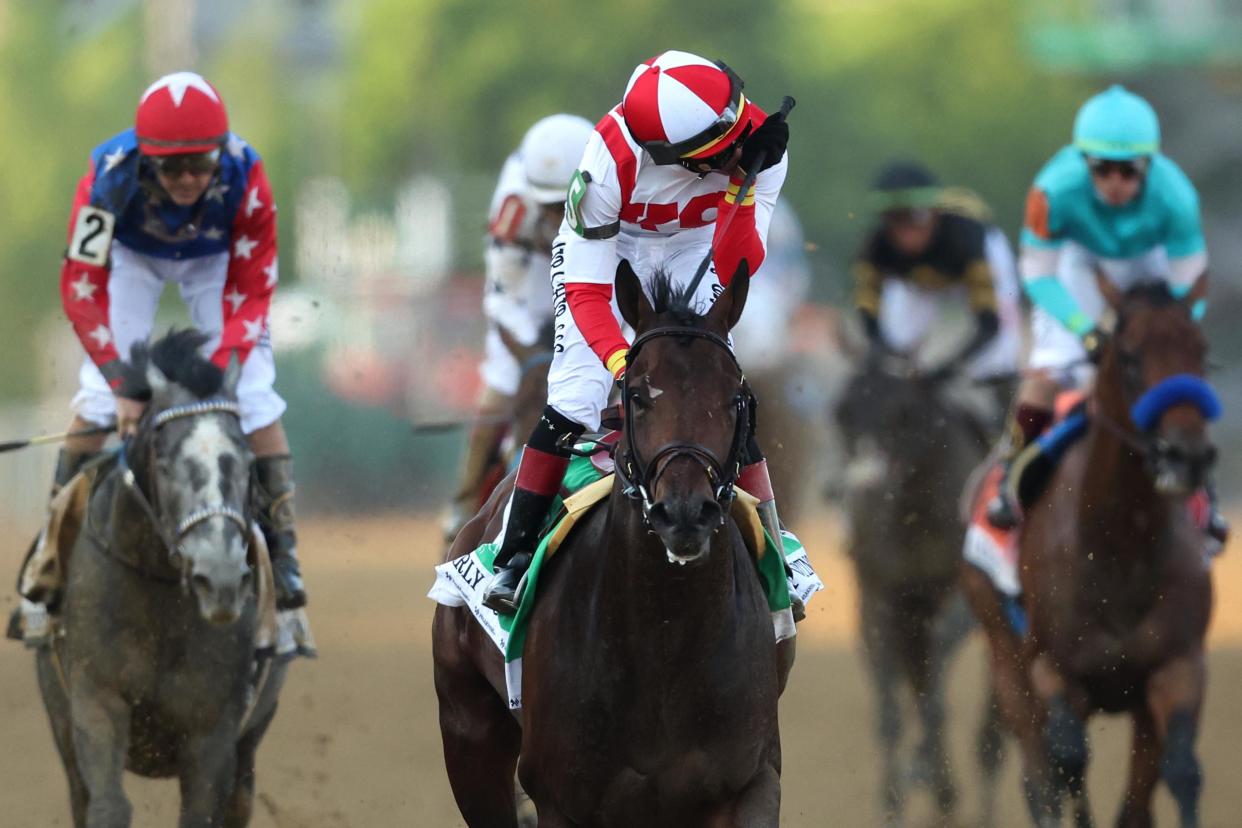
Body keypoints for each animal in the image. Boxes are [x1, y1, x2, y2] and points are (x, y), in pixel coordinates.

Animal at [33, 332, 288, 828]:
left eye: (247, 461)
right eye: (166, 463)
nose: (220, 574)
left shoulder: (214, 730)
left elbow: (202, 812)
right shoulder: (95, 699)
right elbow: (108, 806)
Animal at [834, 357, 998, 828]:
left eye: (903, 412)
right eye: (841, 412)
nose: (863, 490)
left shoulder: (965, 594)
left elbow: (937, 673)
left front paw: (924, 768)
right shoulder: (878, 598)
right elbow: (889, 713)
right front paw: (894, 801)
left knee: (991, 732)